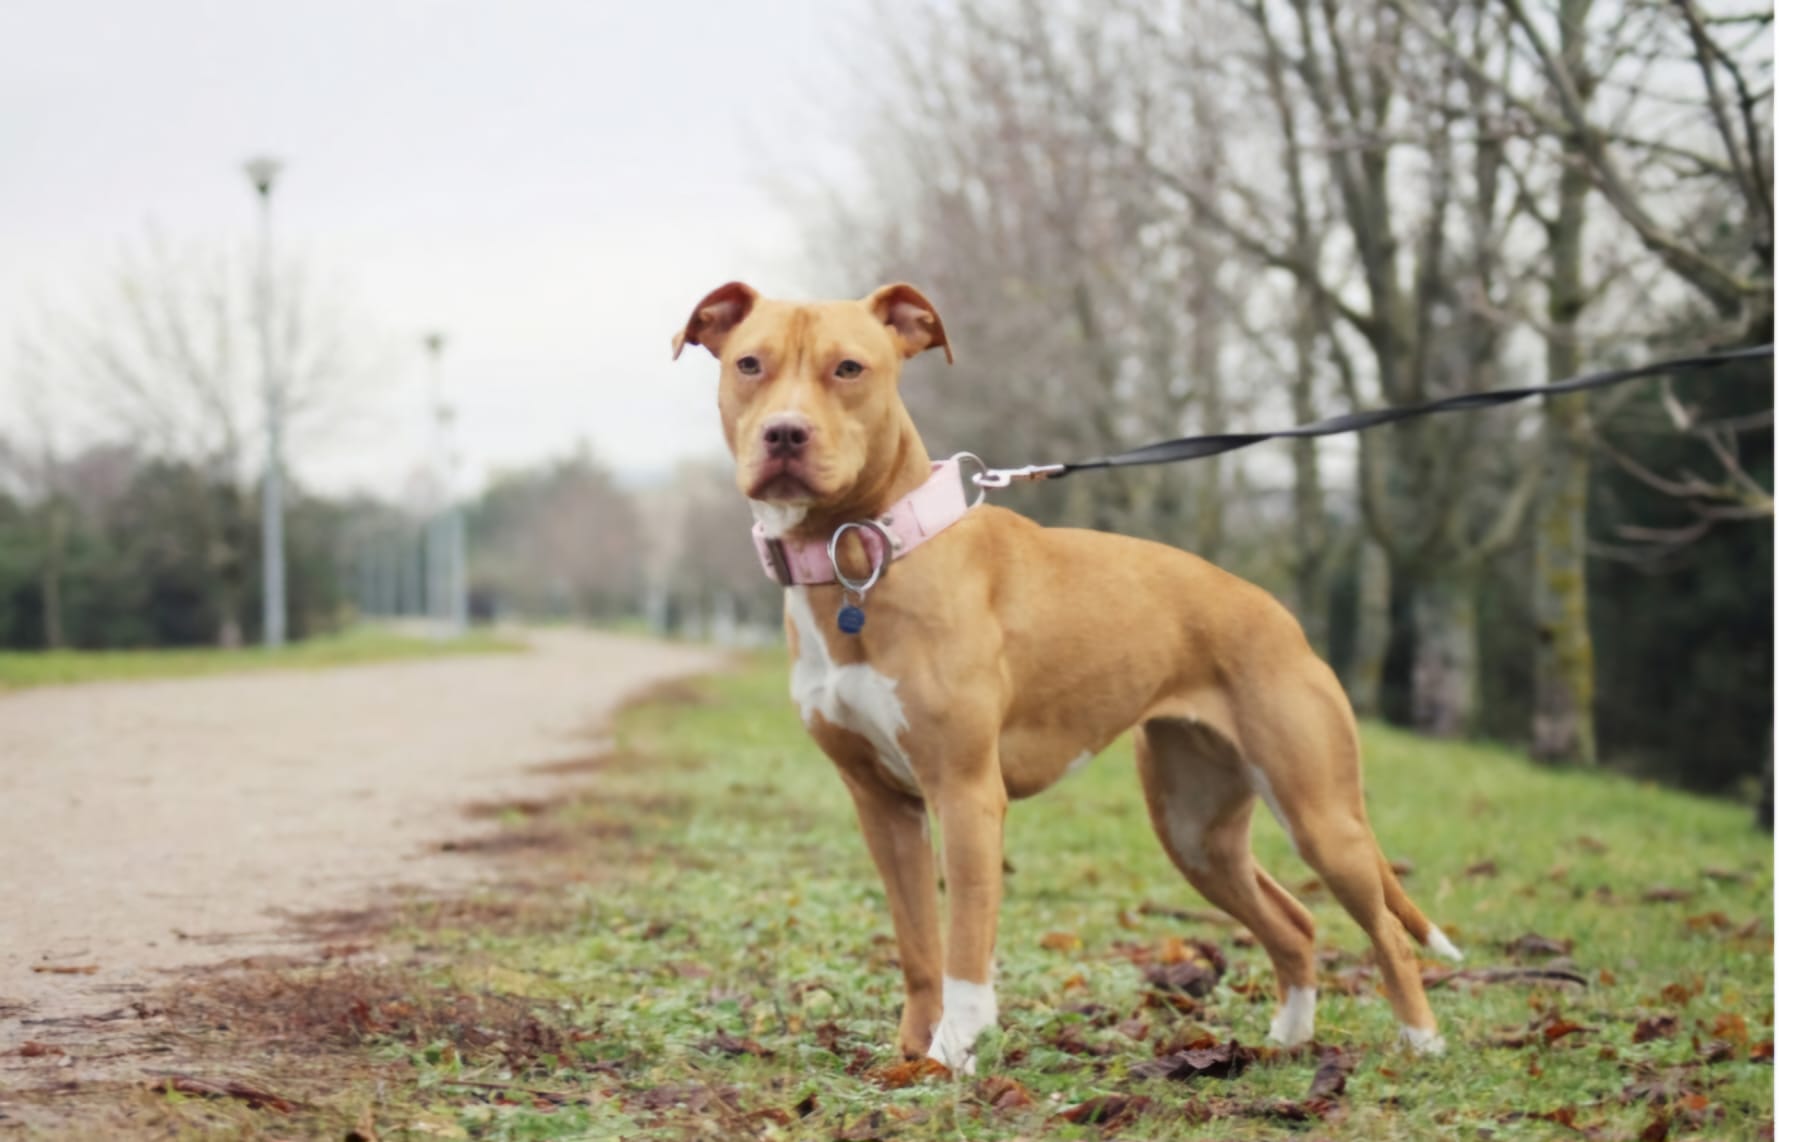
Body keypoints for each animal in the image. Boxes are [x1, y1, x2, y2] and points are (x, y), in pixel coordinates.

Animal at [675, 281, 1458, 1077]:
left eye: (849, 369)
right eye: (749, 364)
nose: (785, 434)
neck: (862, 550)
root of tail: (1281, 615)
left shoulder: (965, 793)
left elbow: (964, 948)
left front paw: (953, 1054)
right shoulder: (881, 804)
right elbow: (918, 946)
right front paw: (912, 1056)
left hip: (1320, 816)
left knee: (1387, 933)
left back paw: (1421, 1042)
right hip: (1196, 829)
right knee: (1293, 923)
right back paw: (1288, 1040)